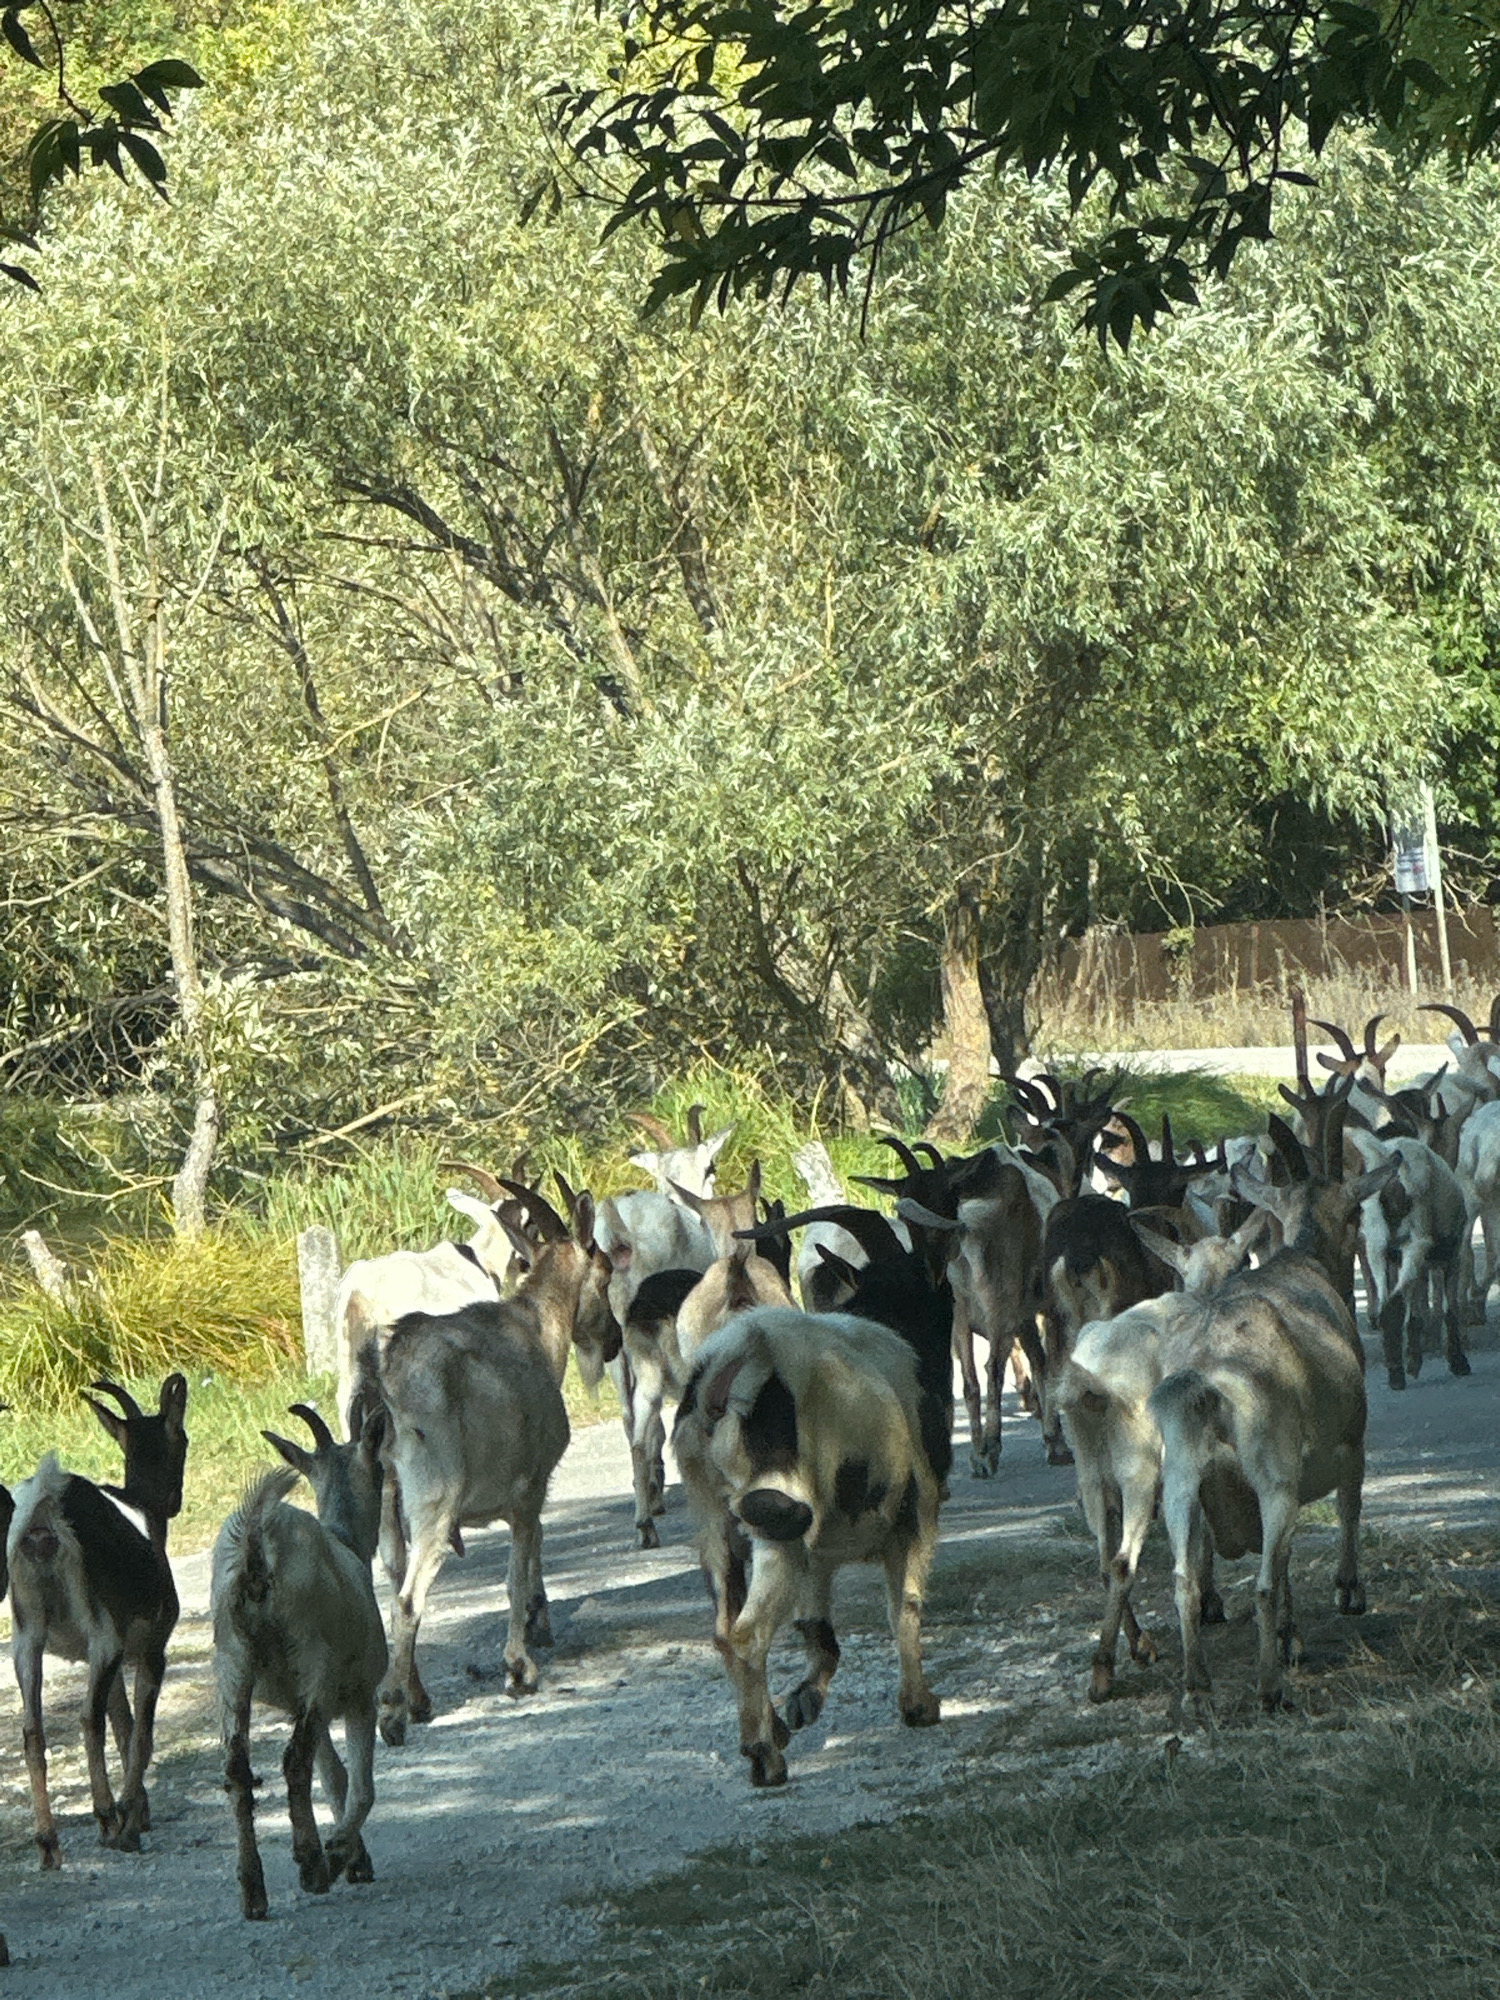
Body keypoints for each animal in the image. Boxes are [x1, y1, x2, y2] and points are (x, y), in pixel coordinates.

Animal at [7, 1375, 188, 1866]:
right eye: (183, 1440)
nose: (175, 1501)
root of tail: (44, 1519)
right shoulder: (149, 1647)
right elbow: (140, 1734)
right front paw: (130, 1820)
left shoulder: (110, 1654)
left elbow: (124, 1723)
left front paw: (139, 1813)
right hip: (100, 1631)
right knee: (88, 1718)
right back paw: (106, 1818)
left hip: (26, 1635)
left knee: (32, 1730)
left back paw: (49, 1842)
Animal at [213, 1401, 386, 1919]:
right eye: (382, 1471)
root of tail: (256, 1552)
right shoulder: (356, 1695)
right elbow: (359, 1784)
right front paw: (341, 1852)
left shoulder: (305, 1704)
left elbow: (332, 1775)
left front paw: (353, 1858)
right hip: (313, 1656)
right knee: (293, 1760)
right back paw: (310, 1864)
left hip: (232, 1663)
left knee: (237, 1767)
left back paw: (252, 1890)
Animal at [365, 1191, 616, 1743]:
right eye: (607, 1272)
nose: (613, 1339)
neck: (538, 1331)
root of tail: (389, 1384)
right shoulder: (530, 1488)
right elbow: (517, 1574)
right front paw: (519, 1668)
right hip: (434, 1496)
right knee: (410, 1597)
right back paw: (392, 1712)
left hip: (387, 1494)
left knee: (393, 1580)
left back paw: (417, 1697)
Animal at [673, 1305, 943, 1786]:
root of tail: (730, 1361)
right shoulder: (916, 1517)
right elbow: (904, 1609)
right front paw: (920, 1708)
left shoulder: (818, 1550)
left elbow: (816, 1623)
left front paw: (802, 1705)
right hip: (777, 1510)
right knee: (747, 1632)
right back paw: (766, 1760)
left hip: (716, 1521)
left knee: (724, 1630)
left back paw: (770, 1734)